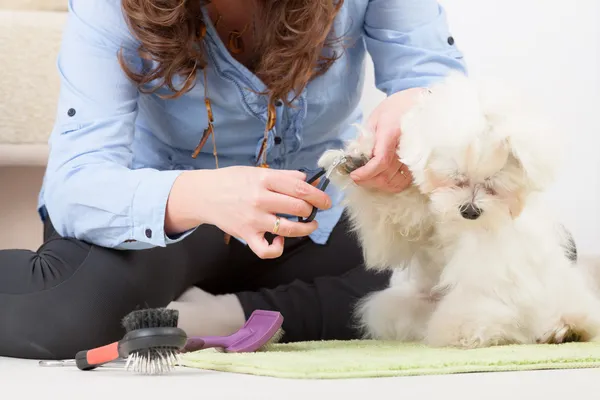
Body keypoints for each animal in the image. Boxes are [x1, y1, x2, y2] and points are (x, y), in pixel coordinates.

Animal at [322, 73, 600, 348]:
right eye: (456, 177)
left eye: (492, 183)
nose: (470, 210)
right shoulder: (411, 221)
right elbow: (391, 214)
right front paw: (356, 160)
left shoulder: (491, 254)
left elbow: (477, 290)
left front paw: (464, 330)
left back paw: (564, 329)